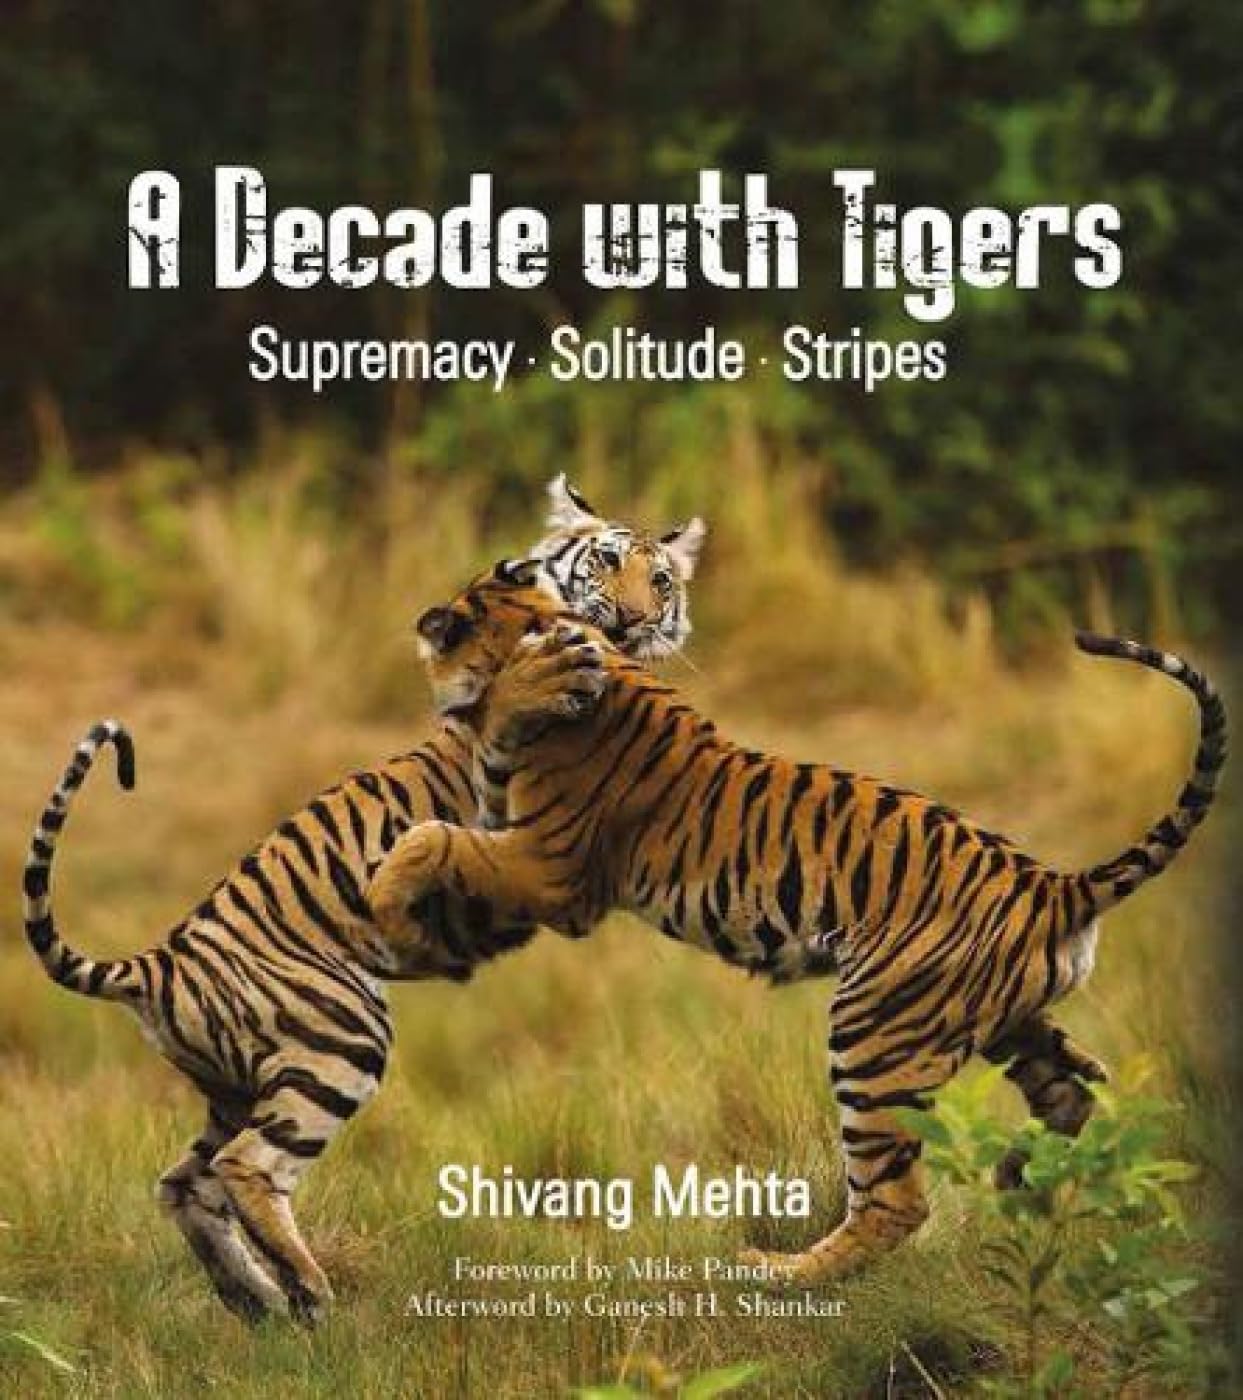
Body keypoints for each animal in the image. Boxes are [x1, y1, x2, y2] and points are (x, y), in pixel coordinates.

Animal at [18, 481, 704, 1326]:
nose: (638, 617)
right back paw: (310, 1293)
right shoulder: (493, 797)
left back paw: (260, 1300)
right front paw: (535, 679)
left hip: (237, 1086)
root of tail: (157, 962)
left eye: (661, 579)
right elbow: (503, 713)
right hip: (340, 1041)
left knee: (184, 1183)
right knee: (247, 1168)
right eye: (605, 563)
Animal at [368, 565, 1226, 1284]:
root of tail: (1054, 883)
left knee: (894, 1201)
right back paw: (1020, 1176)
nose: (420, 628)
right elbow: (451, 813)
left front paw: (387, 900)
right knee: (1074, 1095)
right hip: (1006, 1021)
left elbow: (431, 835)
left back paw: (782, 1271)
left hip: (875, 1036)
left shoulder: (550, 871)